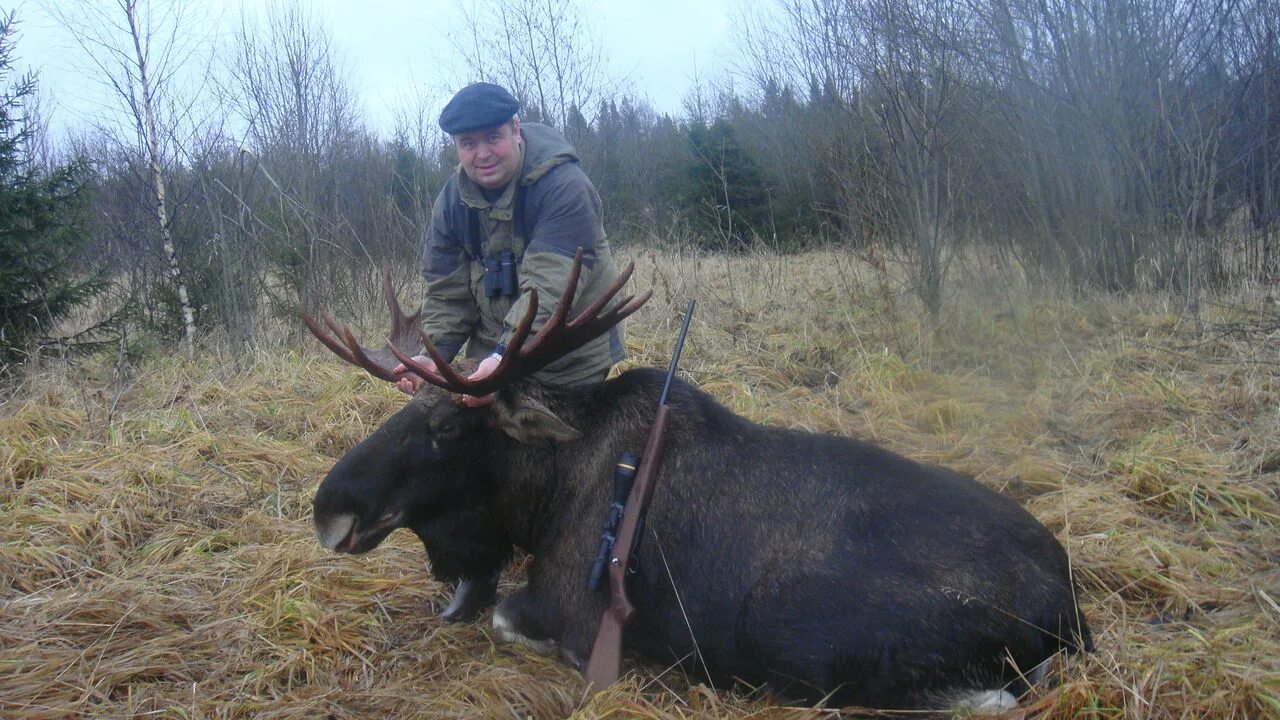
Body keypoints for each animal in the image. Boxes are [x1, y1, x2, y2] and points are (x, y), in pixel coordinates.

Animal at [299, 254, 1090, 707]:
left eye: (447, 426)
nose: (328, 509)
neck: (543, 496)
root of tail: (1069, 604)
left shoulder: (569, 608)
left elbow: (511, 619)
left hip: (810, 636)